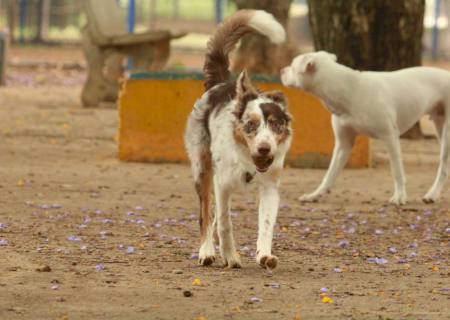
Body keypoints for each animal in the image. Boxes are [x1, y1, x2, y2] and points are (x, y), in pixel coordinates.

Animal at [185, 10, 294, 268]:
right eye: (250, 124)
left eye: (275, 124)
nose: (264, 149)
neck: (247, 163)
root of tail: (220, 83)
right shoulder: (222, 183)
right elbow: (224, 222)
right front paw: (230, 256)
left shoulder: (270, 187)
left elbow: (266, 224)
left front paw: (264, 255)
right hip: (202, 169)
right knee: (206, 215)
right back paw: (207, 251)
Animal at [284, 51, 450, 204]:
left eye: (292, 65)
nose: (281, 70)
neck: (348, 90)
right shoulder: (343, 144)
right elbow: (330, 173)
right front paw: (315, 195)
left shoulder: (390, 137)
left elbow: (397, 171)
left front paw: (399, 197)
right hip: (439, 127)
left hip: (446, 138)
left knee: (442, 167)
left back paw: (432, 194)